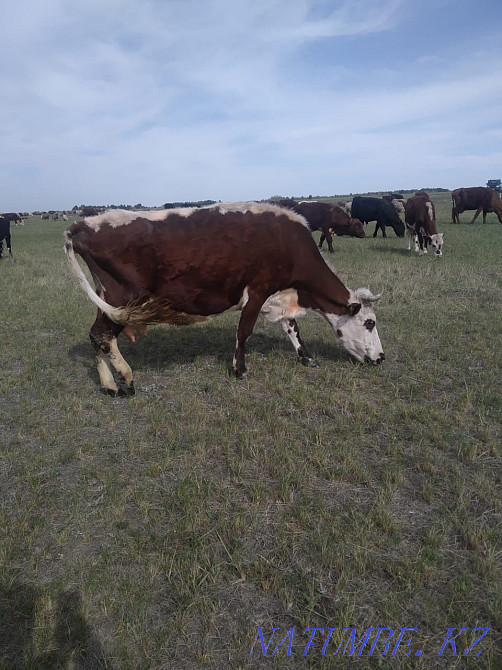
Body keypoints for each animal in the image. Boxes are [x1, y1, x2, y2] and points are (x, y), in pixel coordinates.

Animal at [64, 203, 385, 396]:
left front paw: (306, 357)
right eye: (369, 322)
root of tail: (83, 225)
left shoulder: (280, 294)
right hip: (122, 299)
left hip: (107, 299)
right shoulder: (258, 291)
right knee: (103, 336)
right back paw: (126, 378)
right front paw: (240, 369)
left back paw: (109, 385)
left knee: (96, 335)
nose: (381, 358)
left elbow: (292, 328)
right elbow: (244, 332)